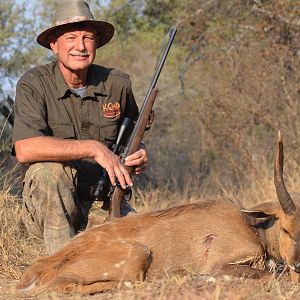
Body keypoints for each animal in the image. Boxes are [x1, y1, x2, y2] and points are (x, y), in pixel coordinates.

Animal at [17, 132, 300, 294]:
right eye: (286, 229)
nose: (298, 263)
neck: (253, 226)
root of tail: (40, 267)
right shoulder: (221, 263)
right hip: (138, 254)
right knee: (62, 287)